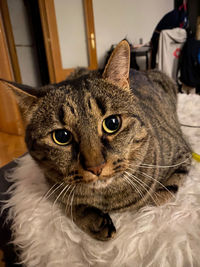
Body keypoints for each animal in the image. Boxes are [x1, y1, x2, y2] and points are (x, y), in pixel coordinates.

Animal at [1, 40, 191, 242]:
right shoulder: (52, 183)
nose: (96, 167)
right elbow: (69, 202)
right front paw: (94, 221)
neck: (108, 200)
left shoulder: (182, 154)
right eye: (61, 137)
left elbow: (157, 198)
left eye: (112, 123)